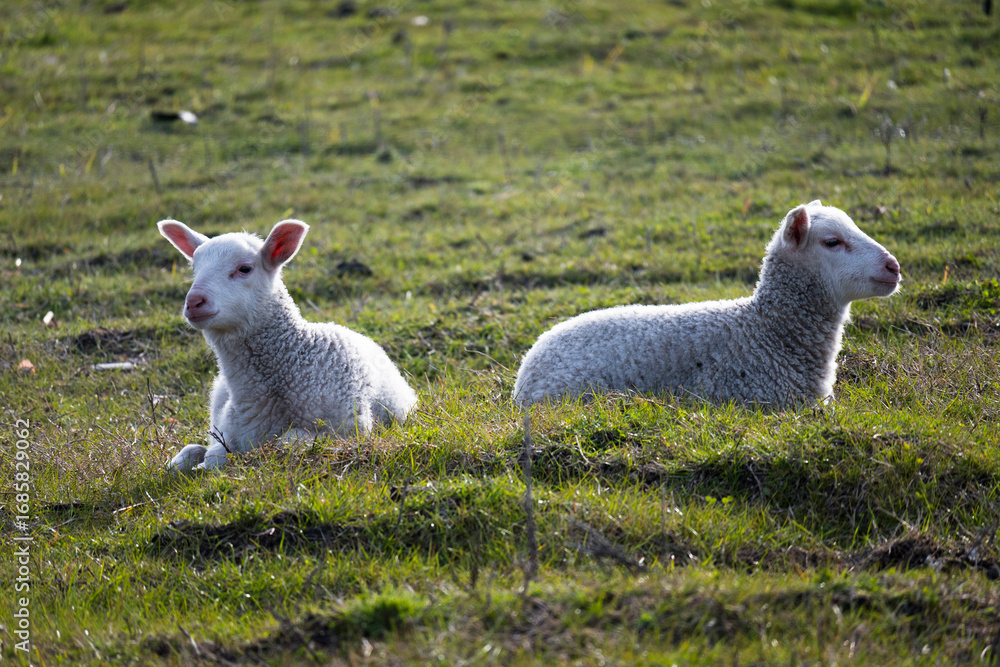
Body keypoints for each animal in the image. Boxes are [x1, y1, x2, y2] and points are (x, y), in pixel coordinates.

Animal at [157, 218, 418, 472]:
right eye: (194, 268)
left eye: (244, 269)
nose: (194, 302)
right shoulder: (228, 432)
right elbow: (213, 455)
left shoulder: (347, 430)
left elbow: (290, 440)